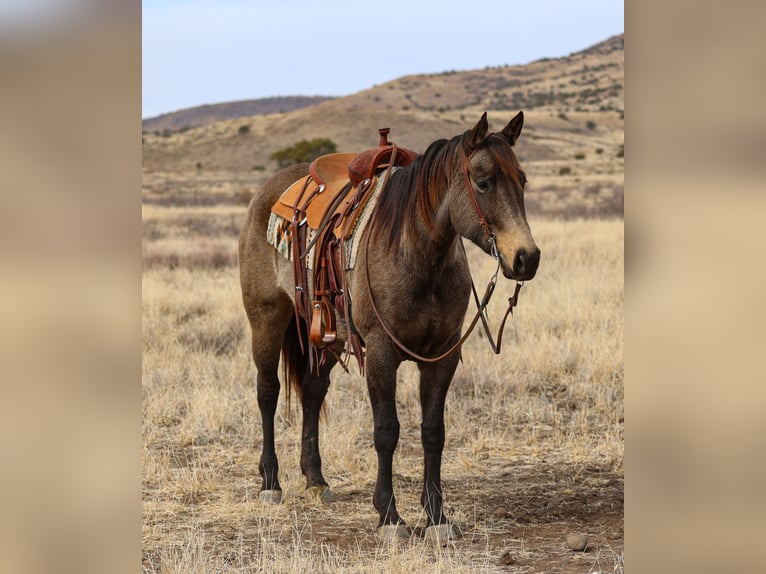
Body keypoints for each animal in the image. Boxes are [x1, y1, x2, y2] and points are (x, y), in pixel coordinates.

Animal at [240, 112, 540, 544]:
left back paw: (315, 479)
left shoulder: (442, 357)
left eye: (522, 179)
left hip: (325, 334)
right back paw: (271, 483)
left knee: (312, 393)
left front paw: (436, 516)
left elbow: (433, 432)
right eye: (483, 182)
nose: (526, 258)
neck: (418, 252)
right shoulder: (382, 353)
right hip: (266, 319)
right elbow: (387, 431)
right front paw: (389, 517)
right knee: (268, 393)